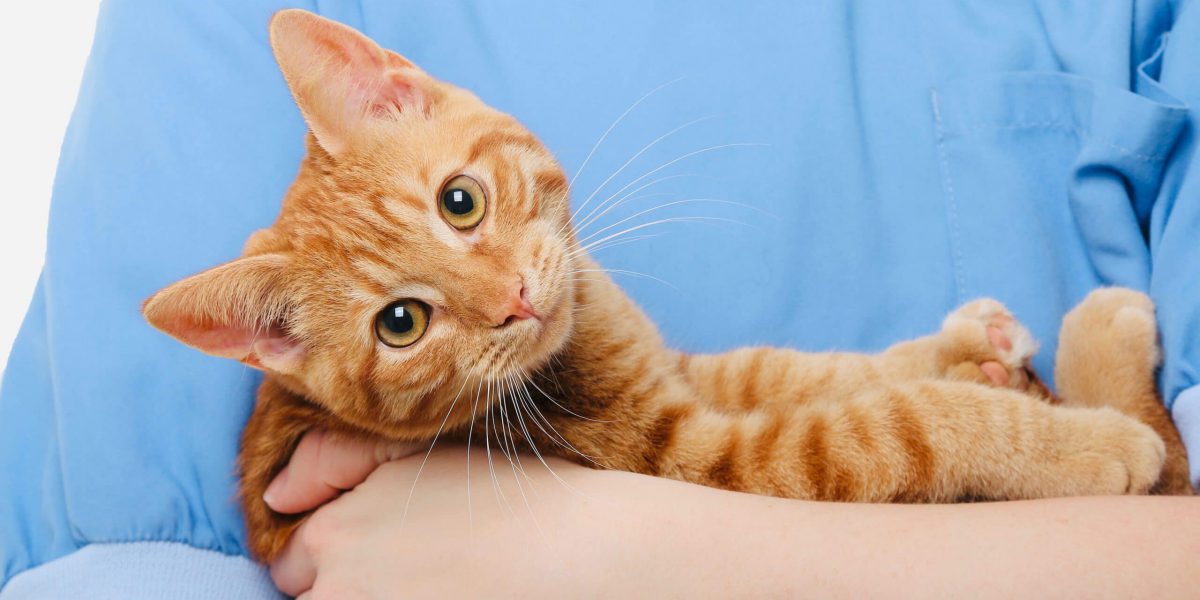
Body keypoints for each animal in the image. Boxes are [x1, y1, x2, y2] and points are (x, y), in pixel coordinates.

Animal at [140, 9, 1190, 561]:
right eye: (402, 323)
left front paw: (957, 347)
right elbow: (902, 425)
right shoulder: (705, 455)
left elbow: (803, 371)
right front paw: (1078, 444)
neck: (582, 340)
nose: (514, 299)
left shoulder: (689, 374)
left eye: (460, 202)